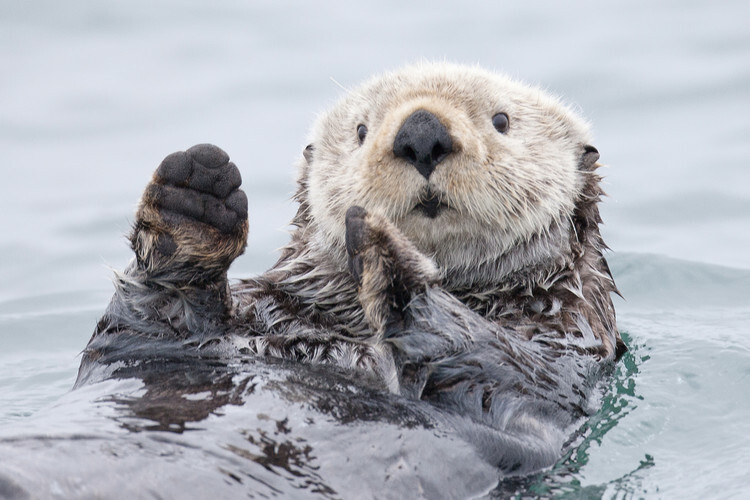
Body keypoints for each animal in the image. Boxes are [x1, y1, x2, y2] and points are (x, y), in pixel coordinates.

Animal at [78, 63, 625, 476]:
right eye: (361, 130)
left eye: (502, 120)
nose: (421, 132)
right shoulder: (177, 339)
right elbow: (144, 327)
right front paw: (195, 195)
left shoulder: (560, 354)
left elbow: (497, 359)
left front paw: (386, 253)